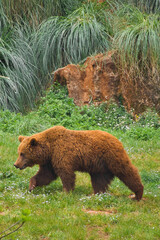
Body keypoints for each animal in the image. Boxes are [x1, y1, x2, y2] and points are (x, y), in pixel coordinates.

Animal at [13, 125, 144, 201]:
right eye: (18, 152)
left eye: (22, 153)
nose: (16, 164)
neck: (49, 149)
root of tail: (117, 139)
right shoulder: (50, 161)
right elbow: (45, 175)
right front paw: (31, 185)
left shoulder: (62, 154)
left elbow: (66, 174)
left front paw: (65, 192)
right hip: (99, 166)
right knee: (99, 180)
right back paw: (96, 194)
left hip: (111, 157)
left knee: (126, 171)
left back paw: (137, 194)